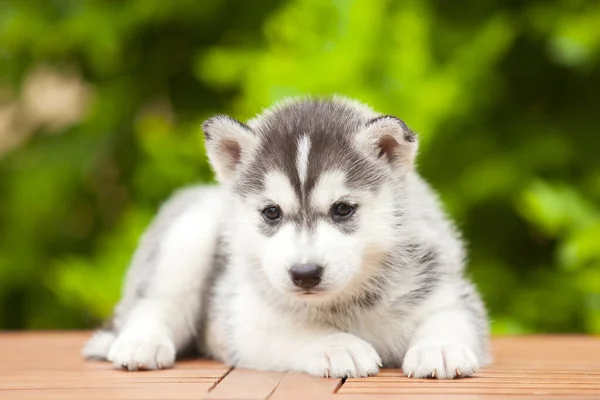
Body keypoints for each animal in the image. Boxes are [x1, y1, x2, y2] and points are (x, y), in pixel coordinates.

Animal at [83, 97, 488, 378]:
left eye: (343, 209)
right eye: (271, 212)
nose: (305, 274)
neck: (346, 302)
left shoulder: (445, 287)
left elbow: (449, 317)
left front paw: (441, 347)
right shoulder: (246, 320)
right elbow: (301, 330)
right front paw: (338, 346)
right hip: (189, 233)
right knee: (156, 302)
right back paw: (141, 343)